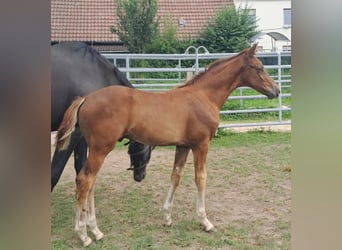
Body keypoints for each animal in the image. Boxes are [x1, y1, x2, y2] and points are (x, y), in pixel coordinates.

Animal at [56, 44, 280, 246]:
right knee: (85, 180)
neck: (203, 96)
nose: (276, 91)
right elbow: (201, 178)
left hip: (96, 149)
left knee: (88, 182)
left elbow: (176, 176)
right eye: (259, 67)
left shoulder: (183, 146)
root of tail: (85, 99)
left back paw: (95, 231)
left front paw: (167, 217)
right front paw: (205, 221)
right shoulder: (201, 144)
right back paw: (84, 235)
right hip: (101, 148)